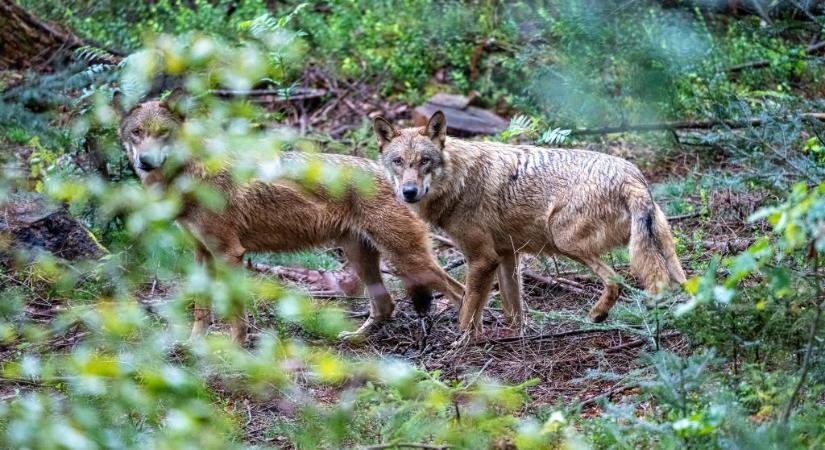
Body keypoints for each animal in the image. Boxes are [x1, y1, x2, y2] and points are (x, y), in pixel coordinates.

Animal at [117, 98, 464, 342]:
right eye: (137, 133)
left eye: (163, 133)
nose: (145, 161)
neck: (192, 175)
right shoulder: (202, 253)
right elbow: (201, 310)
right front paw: (193, 344)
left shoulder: (230, 254)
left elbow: (235, 314)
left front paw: (234, 349)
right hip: (362, 257)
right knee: (386, 305)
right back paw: (354, 338)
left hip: (406, 259)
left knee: (459, 292)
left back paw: (465, 343)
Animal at [372, 111, 684, 342]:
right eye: (398, 161)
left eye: (424, 161)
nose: (409, 192)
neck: (458, 181)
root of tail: (632, 177)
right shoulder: (506, 256)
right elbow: (513, 310)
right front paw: (513, 337)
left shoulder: (482, 259)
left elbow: (467, 310)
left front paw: (462, 345)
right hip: (668, 256)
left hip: (563, 240)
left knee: (615, 280)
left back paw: (596, 316)